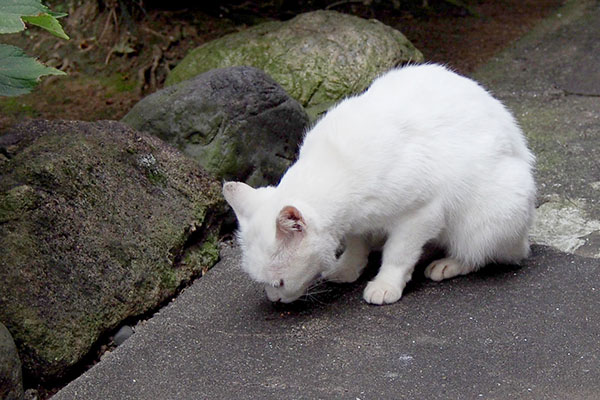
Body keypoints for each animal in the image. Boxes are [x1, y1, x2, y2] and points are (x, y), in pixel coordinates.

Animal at [224, 64, 536, 304]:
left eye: (278, 282)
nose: (274, 300)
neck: (334, 166)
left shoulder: (421, 212)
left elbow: (398, 253)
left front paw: (385, 285)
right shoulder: (356, 221)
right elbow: (356, 244)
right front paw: (348, 268)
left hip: (488, 214)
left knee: (481, 252)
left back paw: (448, 263)